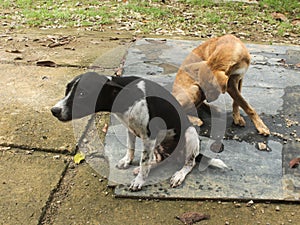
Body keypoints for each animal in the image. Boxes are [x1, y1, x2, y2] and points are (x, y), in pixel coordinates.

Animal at [50, 72, 226, 192]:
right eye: (67, 90)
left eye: (82, 94)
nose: (54, 111)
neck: (123, 96)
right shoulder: (131, 129)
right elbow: (131, 148)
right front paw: (128, 162)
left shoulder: (149, 137)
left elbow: (143, 161)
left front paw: (139, 181)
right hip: (159, 145)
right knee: (160, 159)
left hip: (190, 135)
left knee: (190, 163)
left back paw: (178, 175)